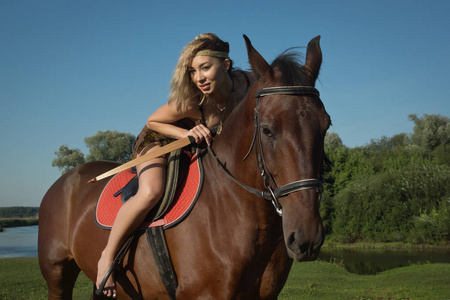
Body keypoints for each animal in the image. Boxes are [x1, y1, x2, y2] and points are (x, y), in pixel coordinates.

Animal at [37, 34, 330, 298]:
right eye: (267, 130)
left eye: (325, 125)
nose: (306, 238)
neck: (231, 205)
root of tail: (66, 179)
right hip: (57, 276)